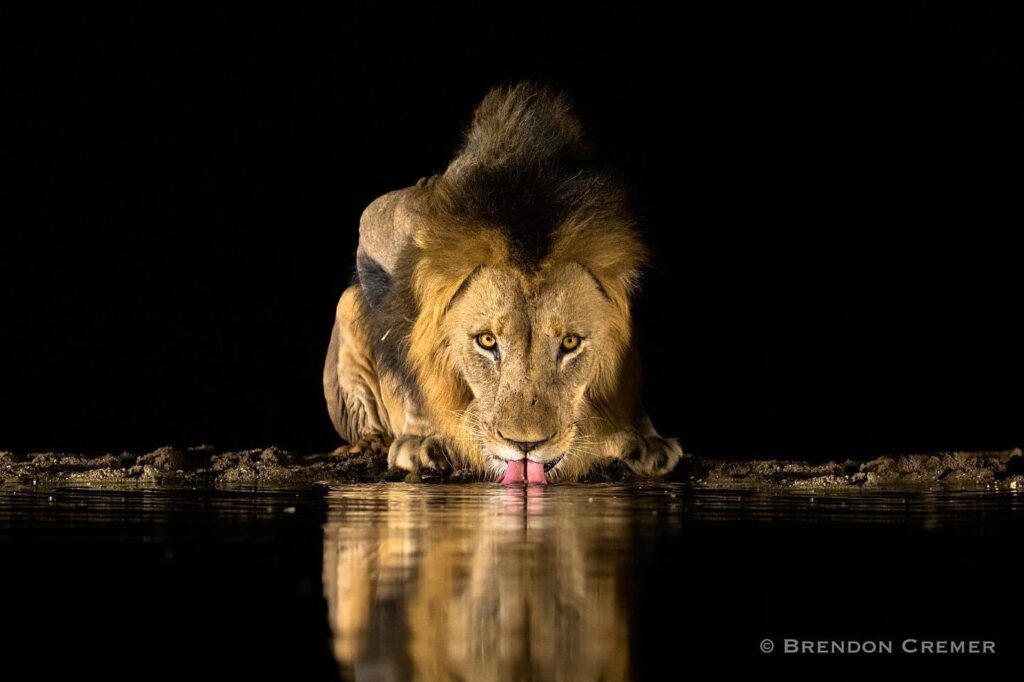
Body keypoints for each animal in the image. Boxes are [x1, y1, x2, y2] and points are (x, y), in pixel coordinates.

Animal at [323, 82, 684, 481]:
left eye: (570, 342)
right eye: (486, 341)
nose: (525, 445)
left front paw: (647, 439)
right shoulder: (389, 221)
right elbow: (406, 349)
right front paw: (421, 439)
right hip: (347, 304)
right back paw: (371, 442)